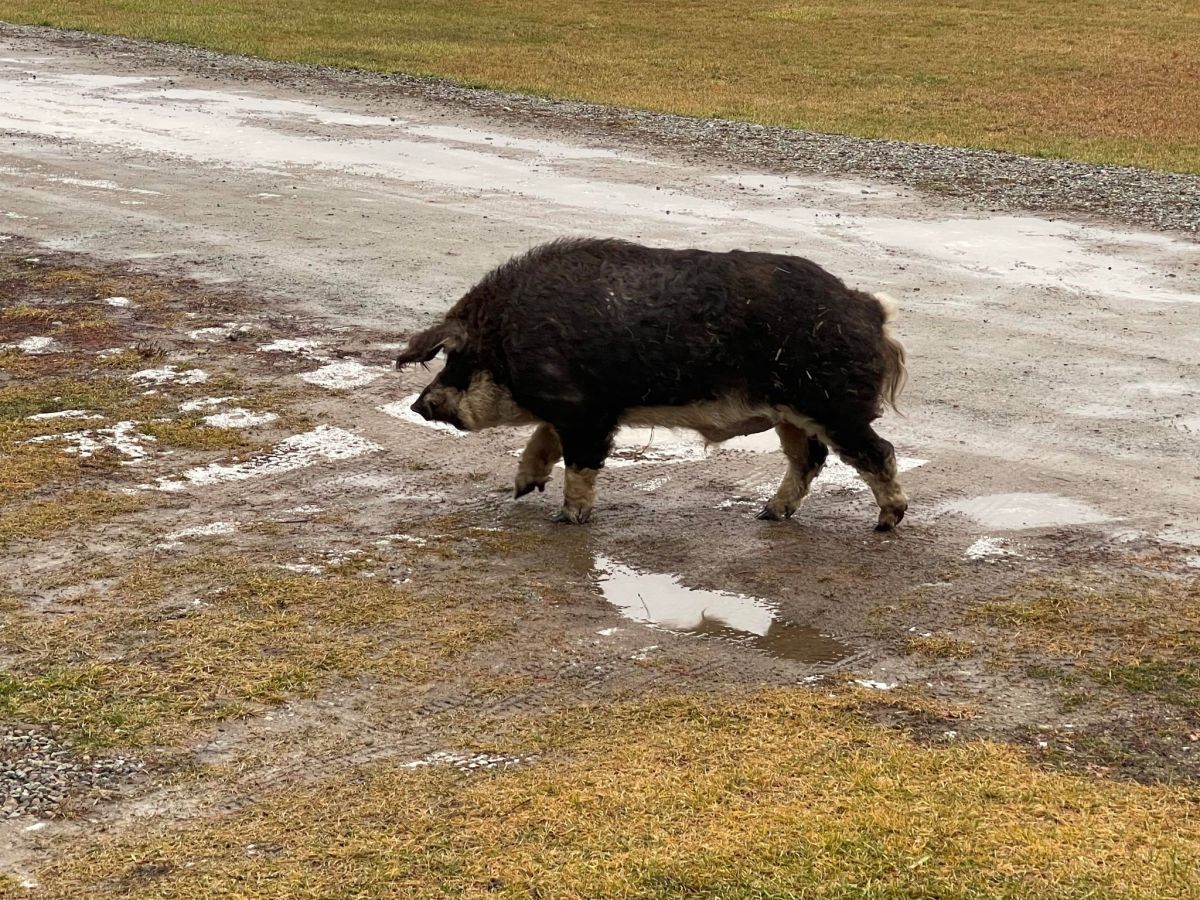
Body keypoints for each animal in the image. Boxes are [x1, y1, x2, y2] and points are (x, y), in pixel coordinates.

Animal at [396, 238, 909, 530]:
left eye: (458, 359)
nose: (419, 405)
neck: (508, 334)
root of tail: (869, 310)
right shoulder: (578, 409)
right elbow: (542, 439)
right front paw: (522, 489)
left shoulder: (587, 411)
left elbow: (580, 461)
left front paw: (567, 518)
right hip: (794, 414)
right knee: (809, 459)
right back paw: (768, 513)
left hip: (834, 404)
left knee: (877, 452)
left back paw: (887, 522)